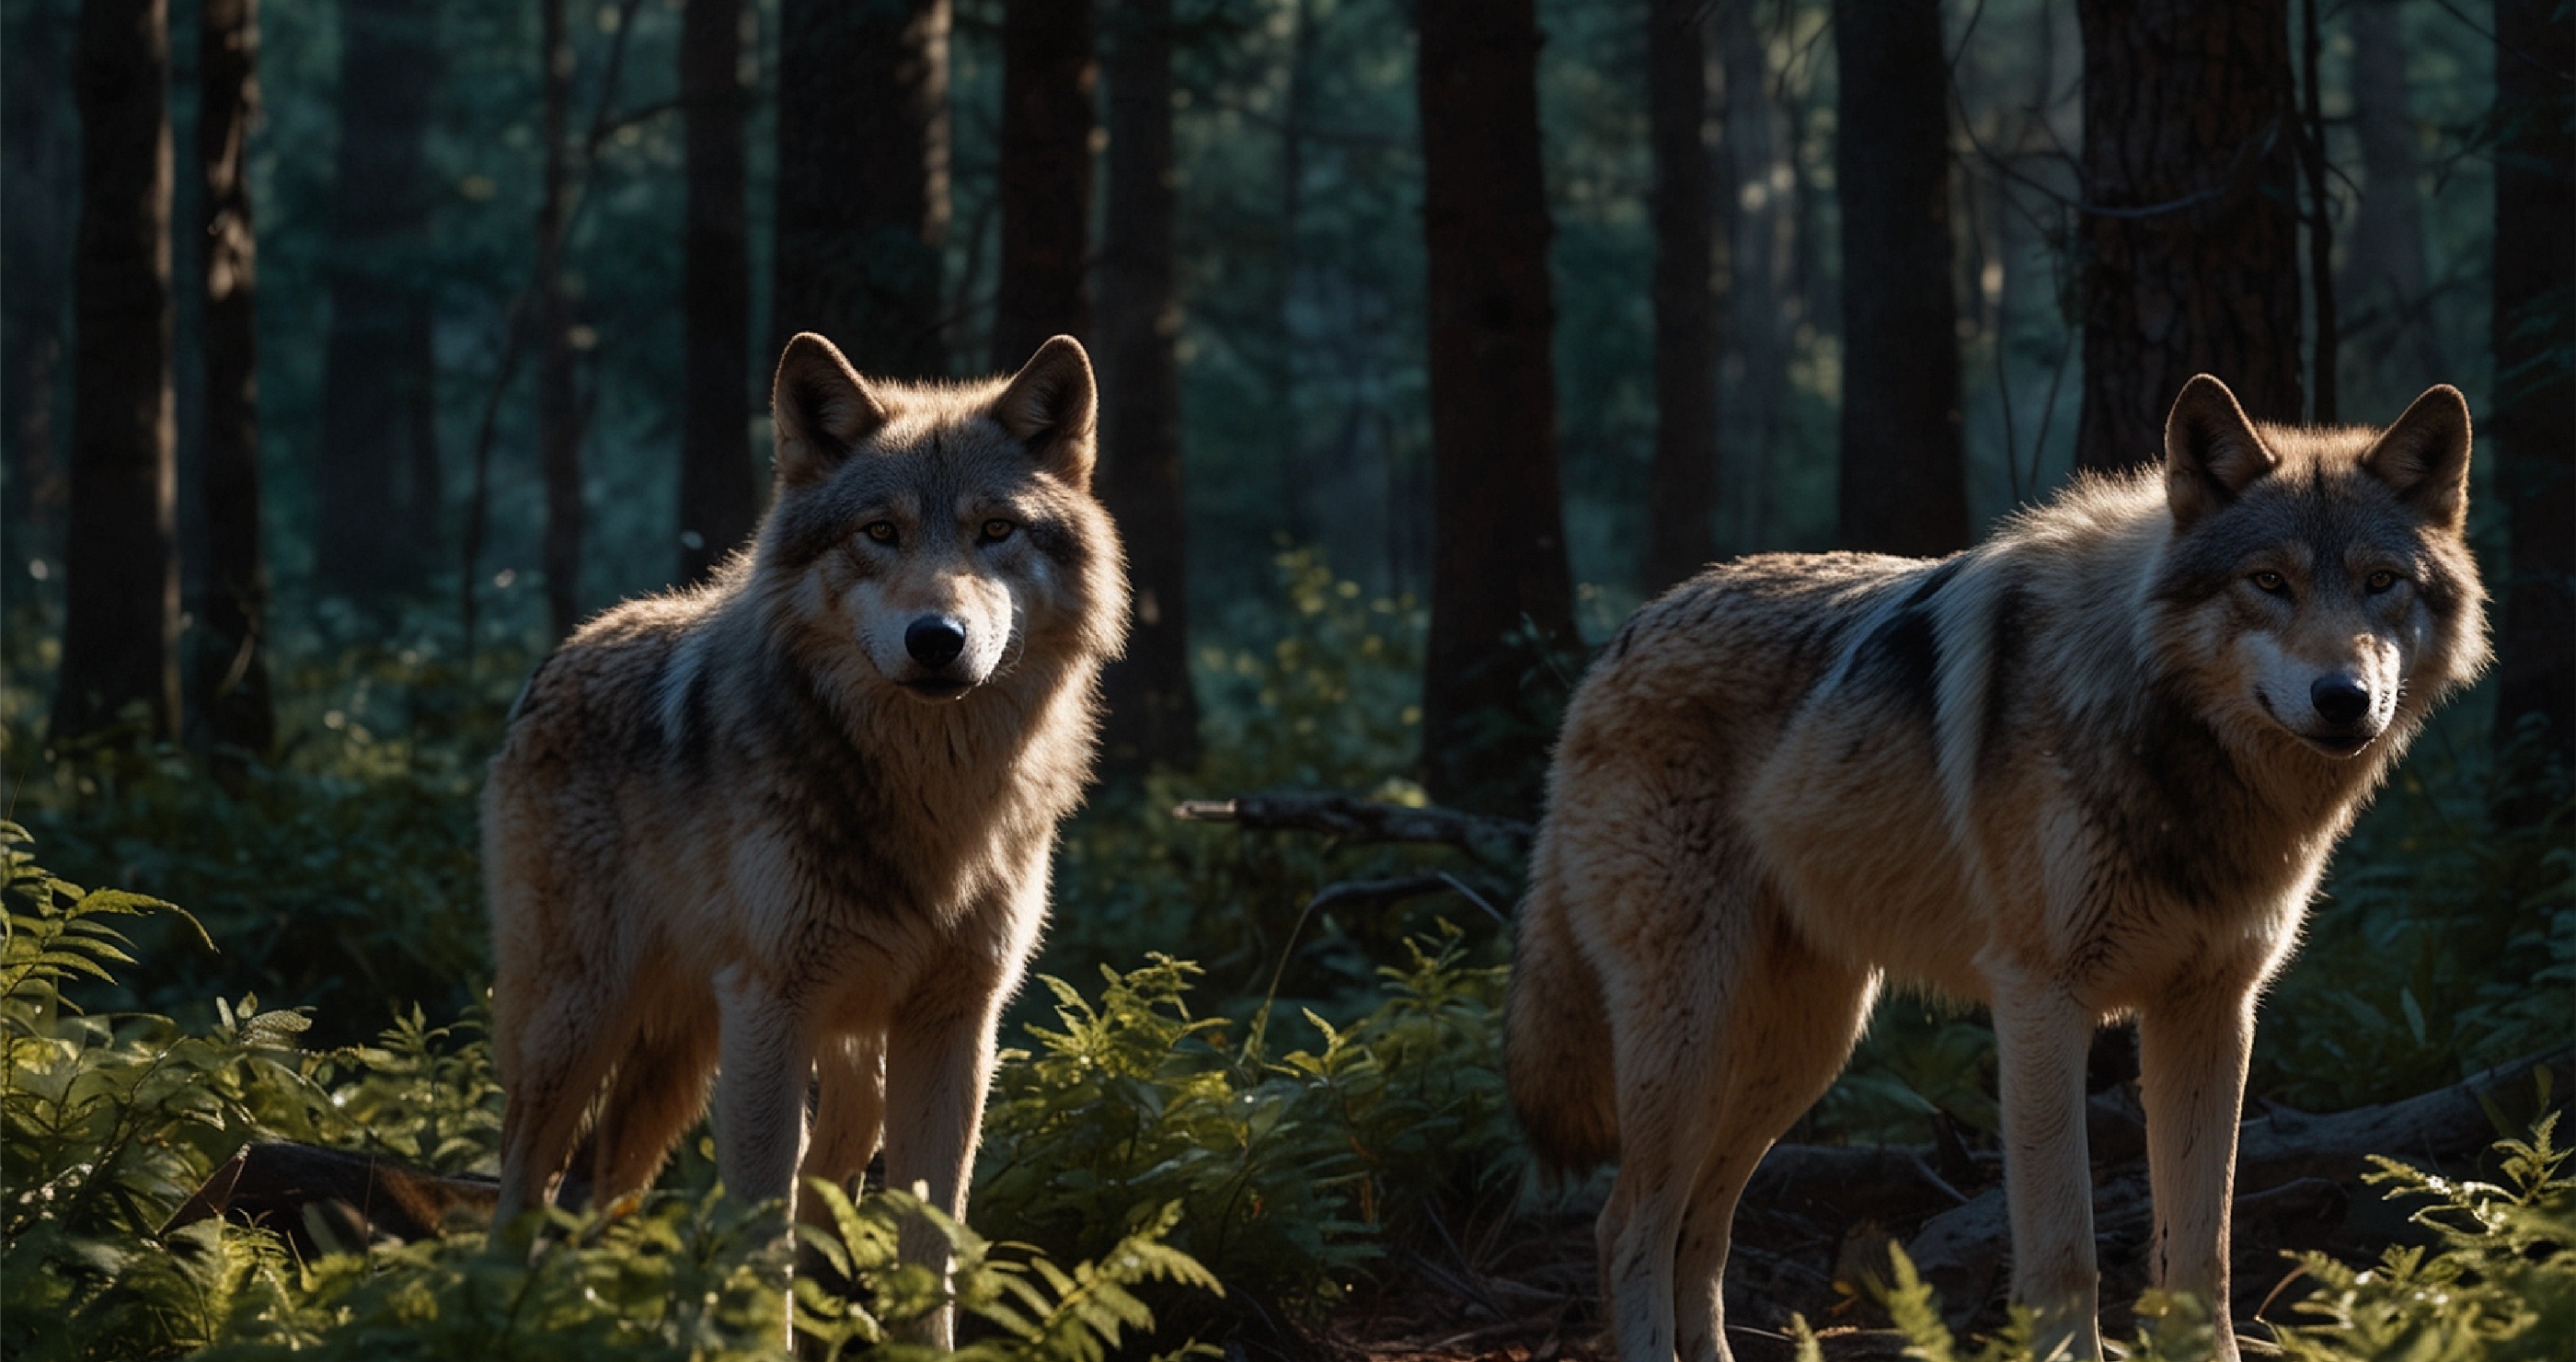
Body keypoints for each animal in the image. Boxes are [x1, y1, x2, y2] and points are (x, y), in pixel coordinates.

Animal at [484, 331, 1128, 1338]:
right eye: (879, 532)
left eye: (995, 531)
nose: (937, 637)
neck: (927, 802)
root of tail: (566, 649)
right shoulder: (768, 1008)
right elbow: (760, 1240)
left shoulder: (955, 1025)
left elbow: (929, 1241)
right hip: (579, 1022)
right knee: (521, 1178)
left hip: (803, 1060)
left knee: (655, 1182)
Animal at [1504, 373, 2493, 1359]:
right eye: (2269, 582)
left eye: (2380, 583)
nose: (2345, 699)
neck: (2166, 747)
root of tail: (1615, 645)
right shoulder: (2040, 1002)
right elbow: (2067, 1254)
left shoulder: (2211, 1010)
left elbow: (2201, 1256)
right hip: (1699, 1035)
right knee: (1628, 1227)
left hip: (1801, 1049)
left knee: (1700, 1231)